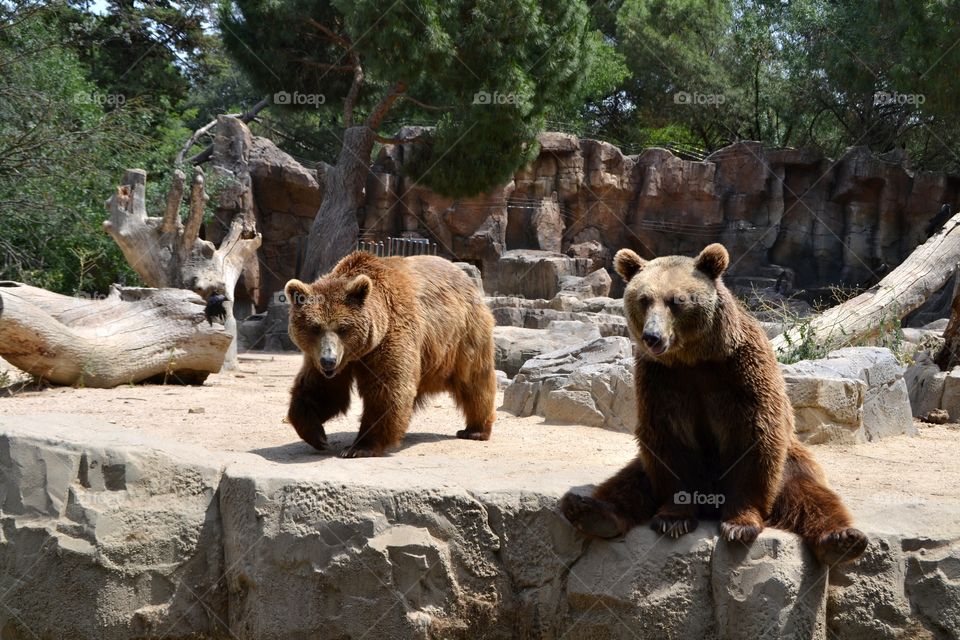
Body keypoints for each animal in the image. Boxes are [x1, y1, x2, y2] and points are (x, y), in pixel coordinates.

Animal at [284, 251, 497, 458]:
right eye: (315, 327)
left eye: (343, 328)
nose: (328, 360)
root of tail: (465, 277)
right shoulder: (327, 358)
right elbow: (322, 390)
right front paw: (317, 435)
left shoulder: (390, 334)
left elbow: (386, 389)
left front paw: (359, 447)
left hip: (465, 334)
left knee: (474, 381)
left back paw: (474, 430)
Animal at [559, 244, 868, 566]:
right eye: (643, 299)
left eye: (677, 300)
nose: (652, 337)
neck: (693, 357)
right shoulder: (662, 380)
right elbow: (668, 440)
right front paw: (673, 518)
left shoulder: (740, 373)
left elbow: (754, 437)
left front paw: (739, 525)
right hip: (644, 466)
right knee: (627, 483)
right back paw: (588, 510)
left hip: (792, 465)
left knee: (811, 496)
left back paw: (842, 539)